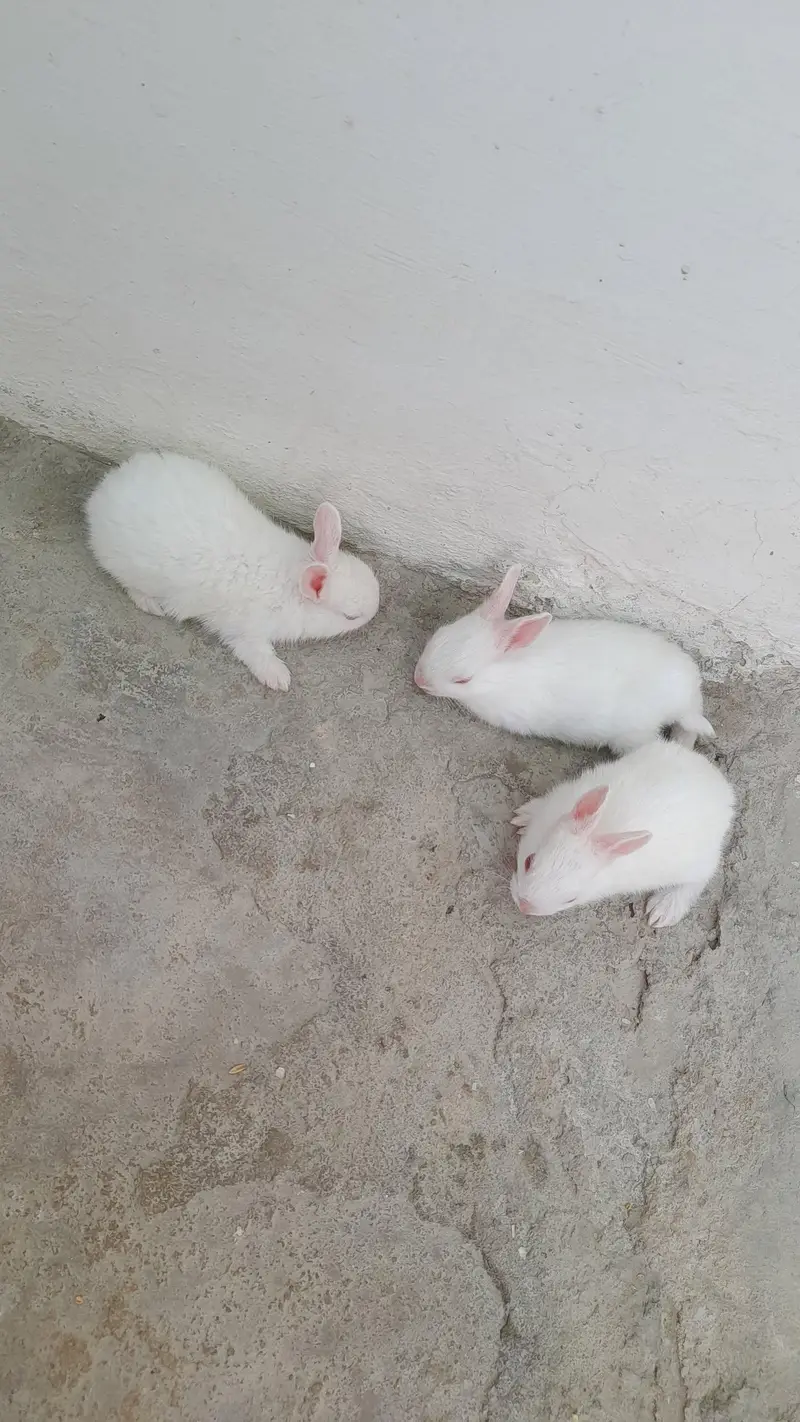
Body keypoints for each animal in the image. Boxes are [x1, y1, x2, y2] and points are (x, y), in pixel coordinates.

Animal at [85, 452, 380, 689]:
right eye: (351, 617)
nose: (376, 609)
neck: (291, 580)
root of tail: (103, 491)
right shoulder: (245, 630)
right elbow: (256, 652)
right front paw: (279, 678)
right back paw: (151, 604)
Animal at [510, 740, 735, 928]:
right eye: (528, 861)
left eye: (570, 899)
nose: (523, 905)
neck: (600, 830)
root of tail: (722, 788)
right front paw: (525, 816)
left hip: (696, 864)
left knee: (697, 881)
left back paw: (664, 908)